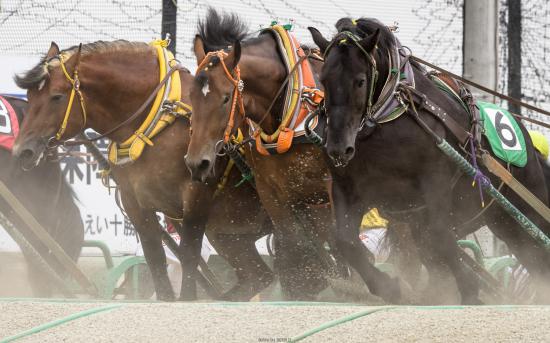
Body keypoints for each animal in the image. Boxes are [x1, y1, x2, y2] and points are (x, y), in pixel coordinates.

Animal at [13, 41, 278, 302]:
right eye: (30, 96)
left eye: (56, 97)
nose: (21, 151)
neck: (156, 126)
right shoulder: (135, 203)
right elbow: (155, 260)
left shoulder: (196, 195)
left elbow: (189, 258)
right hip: (228, 233)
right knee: (258, 275)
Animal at [185, 10, 396, 300]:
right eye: (191, 96)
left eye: (226, 98)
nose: (197, 163)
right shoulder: (273, 193)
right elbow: (294, 249)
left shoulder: (330, 187)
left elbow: (342, 245)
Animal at [310, 18, 550, 304]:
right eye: (323, 79)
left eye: (359, 81)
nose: (337, 148)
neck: (386, 119)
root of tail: (532, 149)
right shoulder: (349, 188)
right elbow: (344, 240)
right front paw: (387, 286)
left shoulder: (434, 182)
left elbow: (440, 235)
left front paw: (469, 289)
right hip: (503, 221)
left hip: (526, 214)